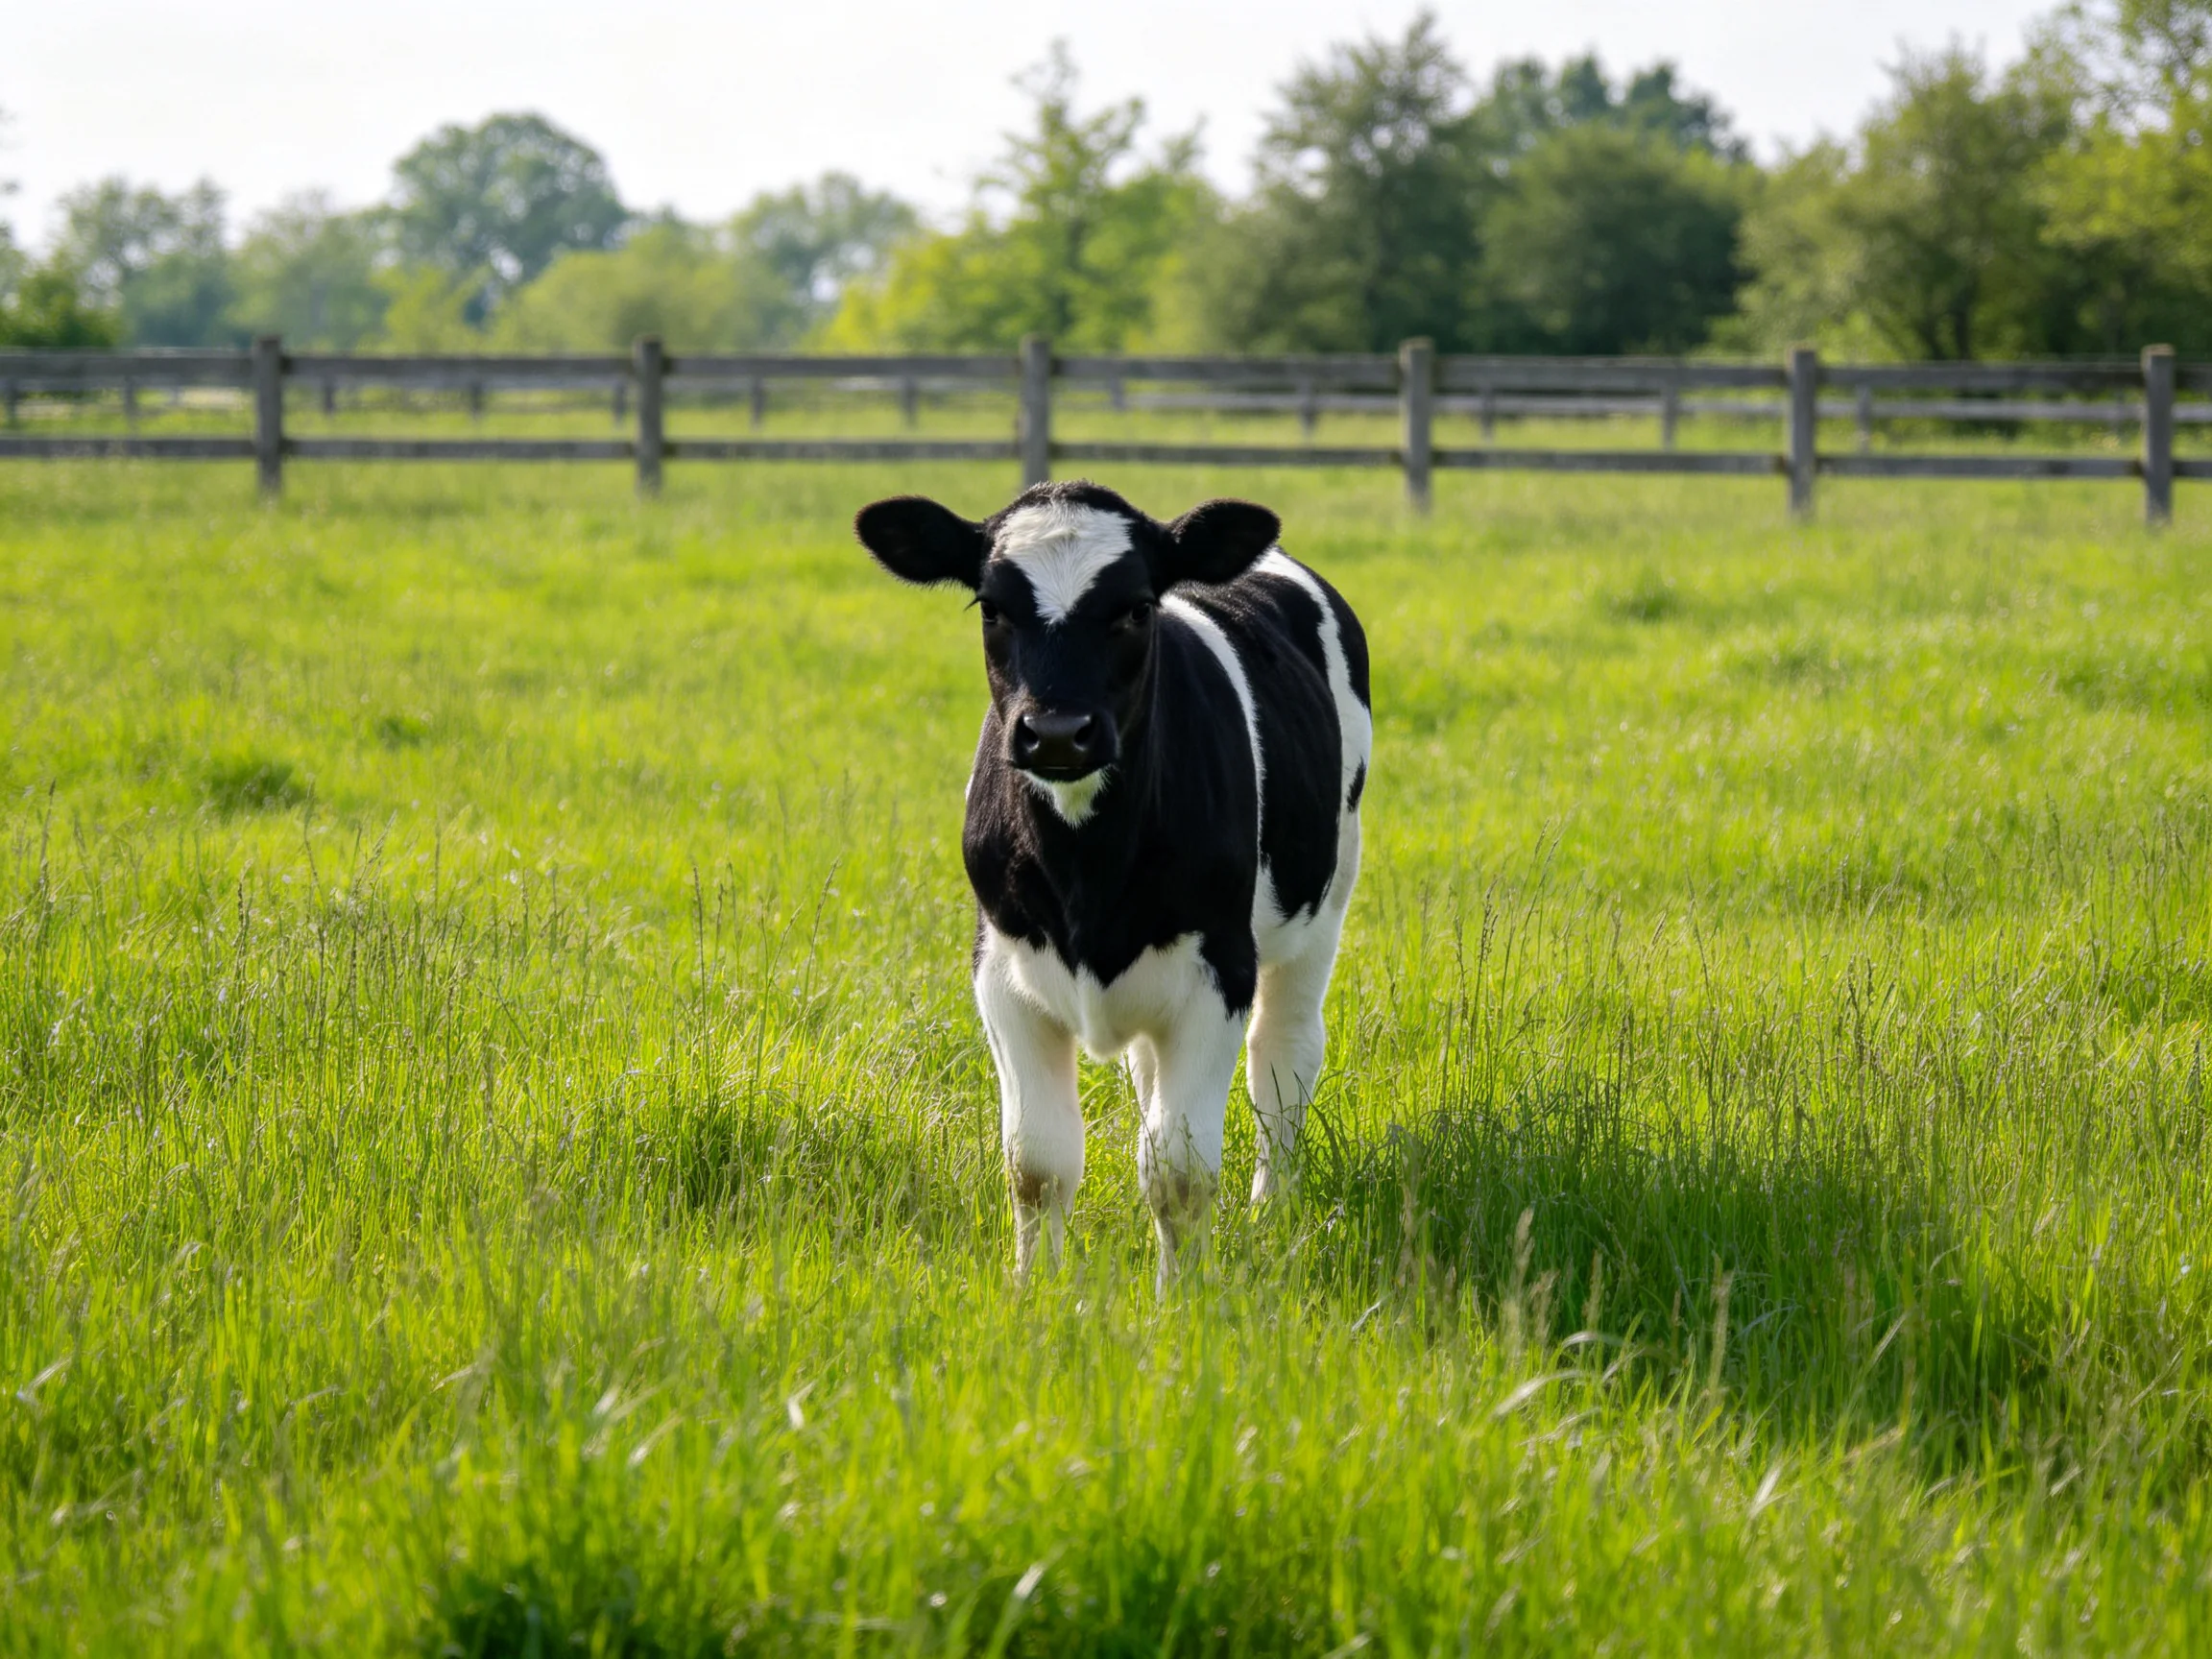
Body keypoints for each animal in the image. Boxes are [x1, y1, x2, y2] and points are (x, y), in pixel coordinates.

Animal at [854, 480, 1372, 1290]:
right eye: (993, 607)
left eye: (1133, 608)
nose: (1057, 732)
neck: (1087, 874)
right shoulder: (1000, 971)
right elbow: (1038, 1163)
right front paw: (1034, 1293)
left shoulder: (1220, 968)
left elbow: (1180, 1171)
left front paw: (1180, 1301)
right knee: (1148, 1073)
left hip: (1324, 902)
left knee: (1284, 1055)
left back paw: (1271, 1212)